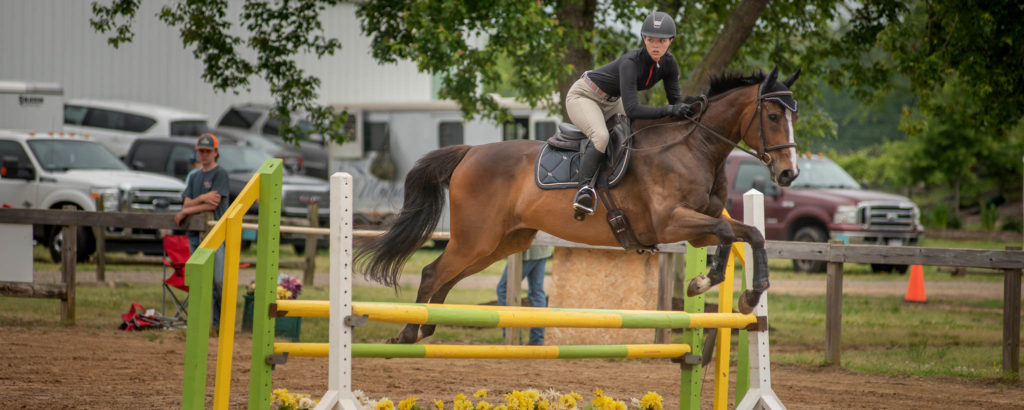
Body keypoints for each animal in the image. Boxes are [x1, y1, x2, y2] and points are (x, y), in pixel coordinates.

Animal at [358, 66, 798, 342]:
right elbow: (728, 230)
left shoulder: (696, 228)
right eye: (774, 116)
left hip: (501, 243)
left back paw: (429, 325)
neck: (694, 147)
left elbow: (748, 233)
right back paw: (410, 331)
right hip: (475, 238)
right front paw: (711, 284)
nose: (788, 174)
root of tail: (470, 152)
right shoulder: (672, 222)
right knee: (433, 272)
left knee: (448, 277)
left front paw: (744, 293)